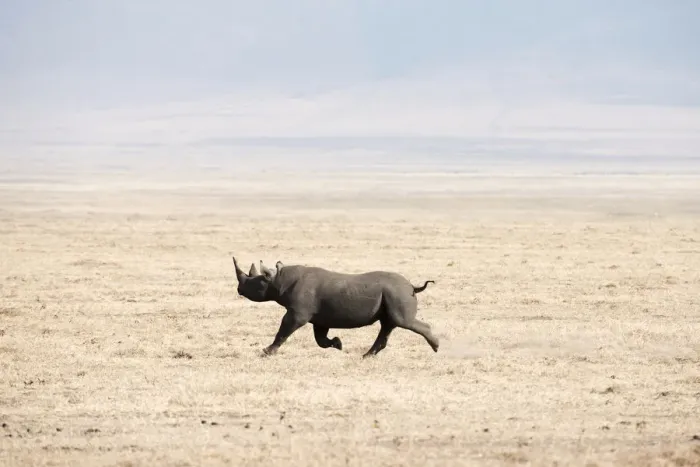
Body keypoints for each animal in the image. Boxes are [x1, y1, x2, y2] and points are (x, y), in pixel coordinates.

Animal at [232, 256, 439, 358]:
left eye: (252, 283)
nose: (239, 289)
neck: (278, 280)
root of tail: (412, 286)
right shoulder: (319, 318)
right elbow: (320, 339)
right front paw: (338, 344)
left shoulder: (298, 312)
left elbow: (284, 329)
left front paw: (267, 352)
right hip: (393, 295)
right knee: (387, 324)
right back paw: (367, 356)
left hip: (398, 294)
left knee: (401, 321)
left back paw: (436, 347)